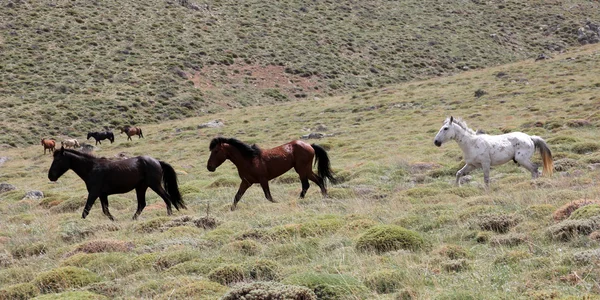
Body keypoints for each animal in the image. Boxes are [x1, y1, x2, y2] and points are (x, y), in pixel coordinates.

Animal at [47, 147, 185, 220]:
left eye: (58, 160)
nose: (50, 176)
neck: (92, 168)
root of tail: (157, 161)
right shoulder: (102, 195)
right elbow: (105, 211)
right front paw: (115, 221)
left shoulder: (94, 193)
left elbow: (86, 210)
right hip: (141, 187)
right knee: (142, 204)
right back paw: (132, 220)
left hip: (154, 185)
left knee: (166, 198)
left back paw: (169, 215)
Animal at [207, 138, 338, 211]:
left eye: (216, 151)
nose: (209, 167)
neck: (249, 159)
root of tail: (310, 145)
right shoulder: (246, 182)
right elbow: (237, 197)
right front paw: (231, 210)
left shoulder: (263, 180)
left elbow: (268, 197)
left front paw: (278, 203)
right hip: (305, 169)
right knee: (319, 180)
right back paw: (324, 196)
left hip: (301, 169)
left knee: (306, 185)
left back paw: (300, 200)